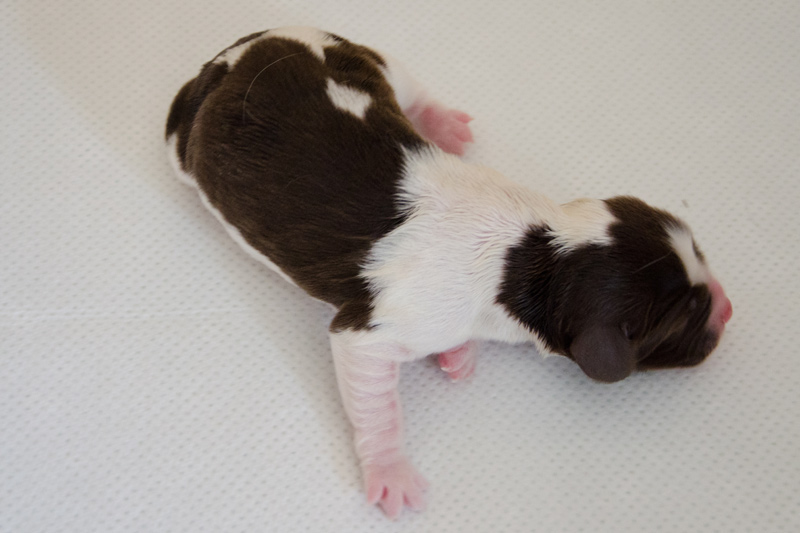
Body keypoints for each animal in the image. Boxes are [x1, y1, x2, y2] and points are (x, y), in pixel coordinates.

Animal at [167, 27, 732, 516]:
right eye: (682, 318)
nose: (727, 308)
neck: (529, 254)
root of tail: (234, 55)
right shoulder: (373, 331)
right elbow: (377, 404)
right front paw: (392, 472)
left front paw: (459, 354)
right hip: (180, 149)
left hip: (369, 57)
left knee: (409, 87)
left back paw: (442, 125)